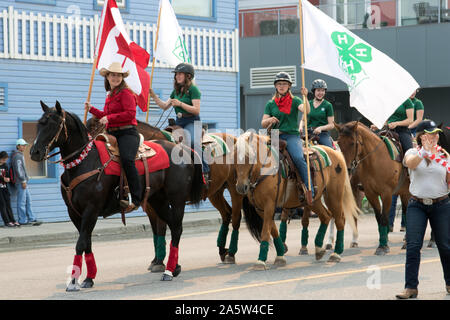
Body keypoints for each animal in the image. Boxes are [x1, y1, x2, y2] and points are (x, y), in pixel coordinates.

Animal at [32, 102, 206, 290]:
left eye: (54, 124)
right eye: (39, 124)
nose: (34, 152)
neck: (83, 162)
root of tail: (182, 149)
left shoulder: (91, 210)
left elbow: (80, 244)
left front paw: (73, 281)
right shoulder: (74, 213)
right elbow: (86, 243)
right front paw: (88, 278)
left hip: (177, 200)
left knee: (177, 229)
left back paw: (168, 272)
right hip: (158, 201)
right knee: (173, 227)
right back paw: (174, 268)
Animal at [86, 116, 244, 266]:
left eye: (97, 134)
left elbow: (161, 228)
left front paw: (160, 262)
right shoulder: (150, 204)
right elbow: (155, 231)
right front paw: (156, 260)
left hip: (235, 189)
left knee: (236, 217)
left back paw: (231, 253)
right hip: (215, 192)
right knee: (226, 214)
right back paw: (223, 250)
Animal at [234, 131, 360, 268]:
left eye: (249, 156)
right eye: (234, 157)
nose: (241, 187)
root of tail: (336, 152)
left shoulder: (269, 206)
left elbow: (265, 232)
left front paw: (260, 261)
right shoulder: (261, 209)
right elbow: (273, 230)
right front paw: (280, 256)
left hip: (333, 195)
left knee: (339, 220)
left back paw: (335, 254)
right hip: (313, 201)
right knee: (326, 216)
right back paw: (319, 249)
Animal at [334, 121, 412, 256]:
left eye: (352, 143)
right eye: (338, 142)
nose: (347, 169)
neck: (375, 159)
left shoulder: (386, 194)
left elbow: (384, 218)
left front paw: (383, 246)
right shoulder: (370, 193)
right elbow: (378, 218)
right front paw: (382, 244)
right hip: (404, 192)